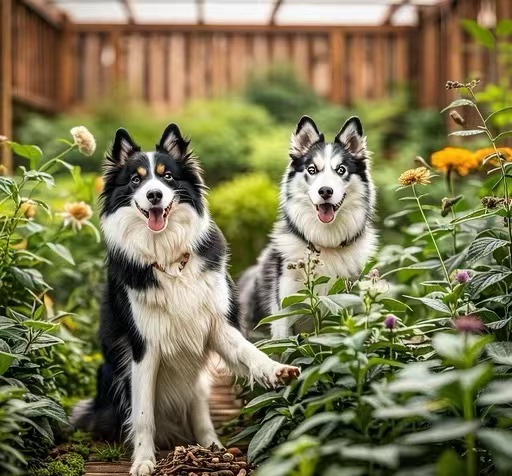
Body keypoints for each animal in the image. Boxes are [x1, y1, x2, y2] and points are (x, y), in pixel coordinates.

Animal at [70, 124, 298, 474]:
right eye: (136, 180)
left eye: (167, 177)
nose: (154, 195)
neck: (166, 254)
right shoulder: (143, 346)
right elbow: (143, 415)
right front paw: (144, 461)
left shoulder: (217, 324)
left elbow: (249, 352)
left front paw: (275, 370)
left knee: (199, 407)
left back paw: (213, 446)